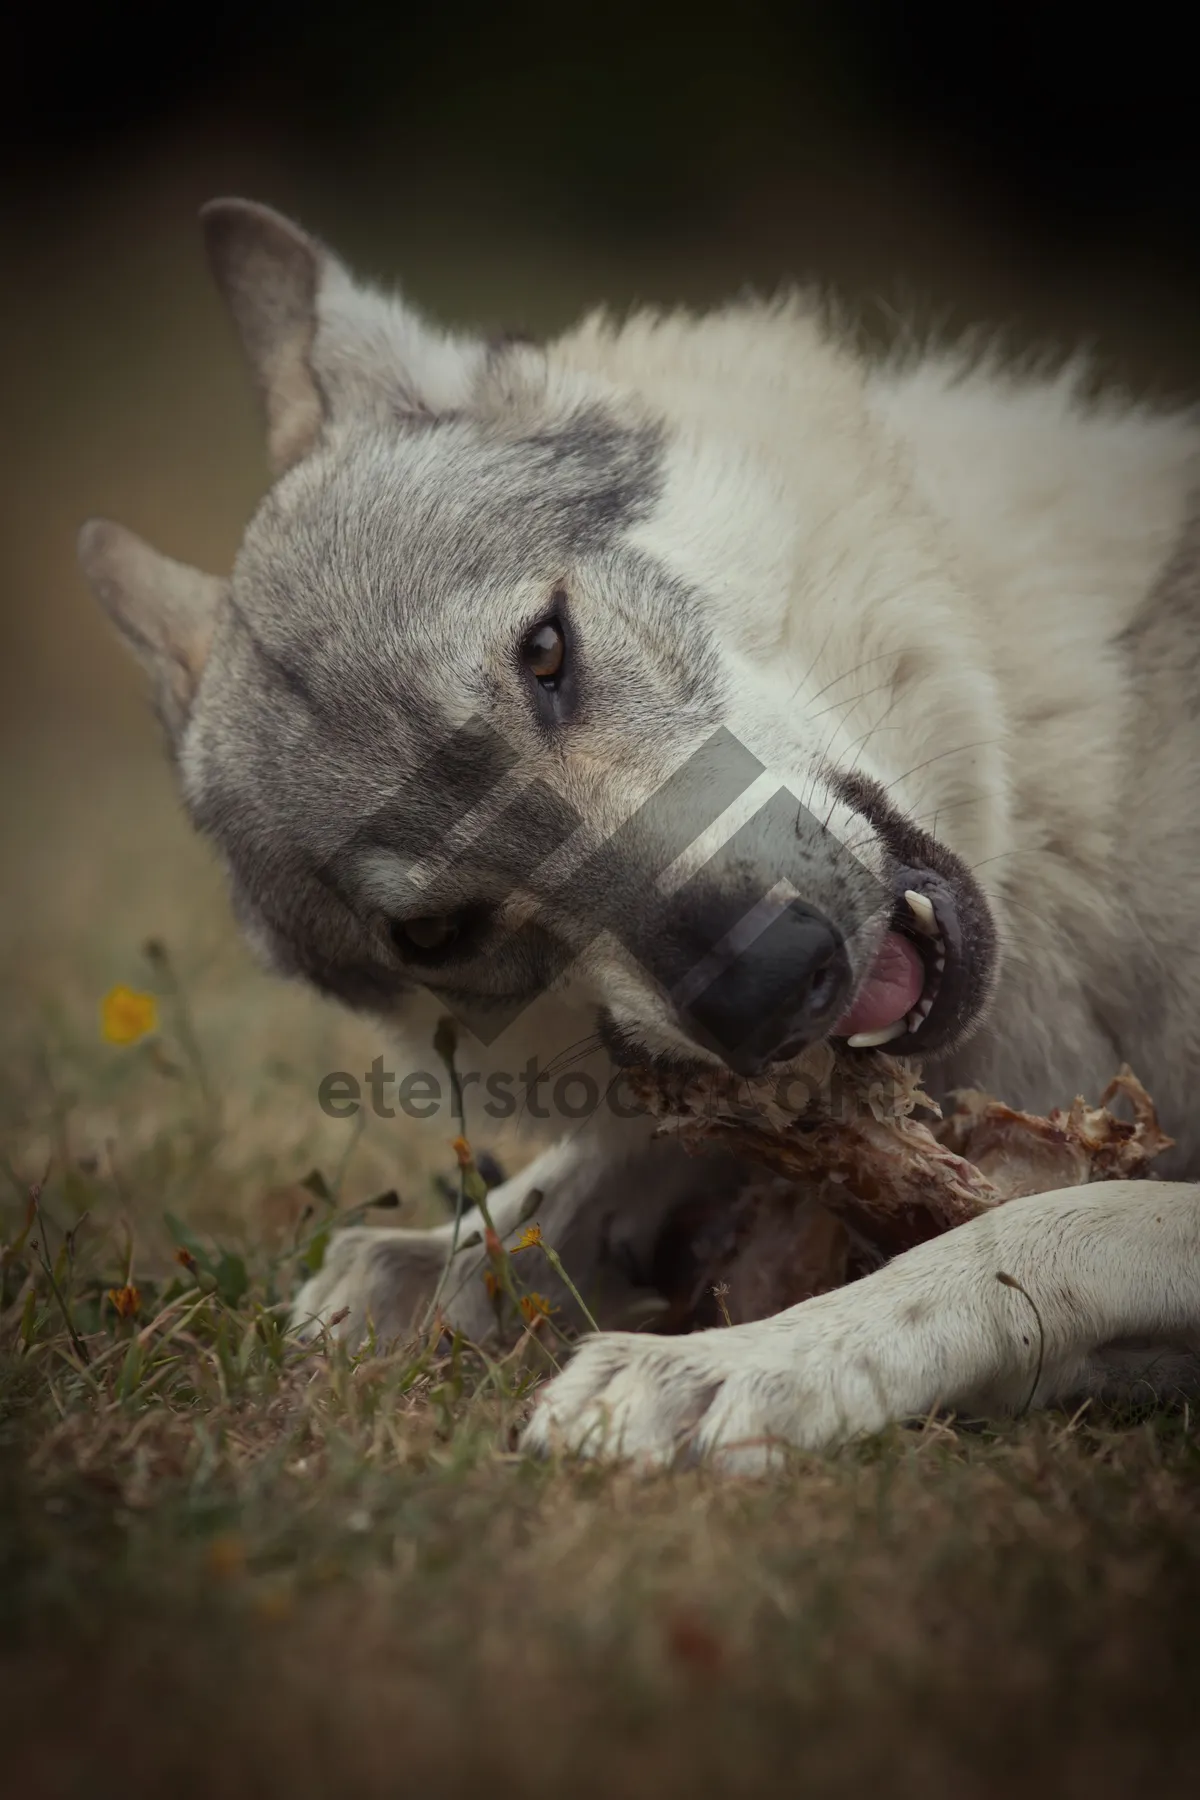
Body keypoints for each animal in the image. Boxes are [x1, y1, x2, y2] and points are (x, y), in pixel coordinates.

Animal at [77, 204, 1200, 1461]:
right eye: (437, 936)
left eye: (546, 653)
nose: (770, 982)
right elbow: (568, 1190)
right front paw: (425, 1269)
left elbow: (1033, 1228)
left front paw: (739, 1365)